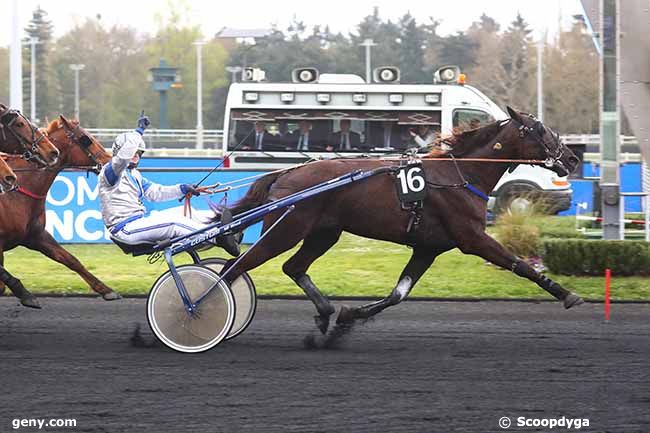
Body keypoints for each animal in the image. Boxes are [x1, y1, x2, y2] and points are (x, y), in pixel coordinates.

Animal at [0, 115, 121, 308]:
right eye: (86, 139)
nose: (109, 162)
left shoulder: (35, 235)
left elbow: (71, 260)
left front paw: (106, 290)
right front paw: (25, 294)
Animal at [223, 106, 584, 332]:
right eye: (540, 130)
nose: (572, 158)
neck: (460, 175)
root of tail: (285, 172)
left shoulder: (429, 247)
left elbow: (399, 293)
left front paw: (349, 315)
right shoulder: (472, 238)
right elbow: (520, 264)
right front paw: (567, 294)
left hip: (324, 233)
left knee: (293, 267)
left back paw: (325, 312)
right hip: (286, 230)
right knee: (235, 268)